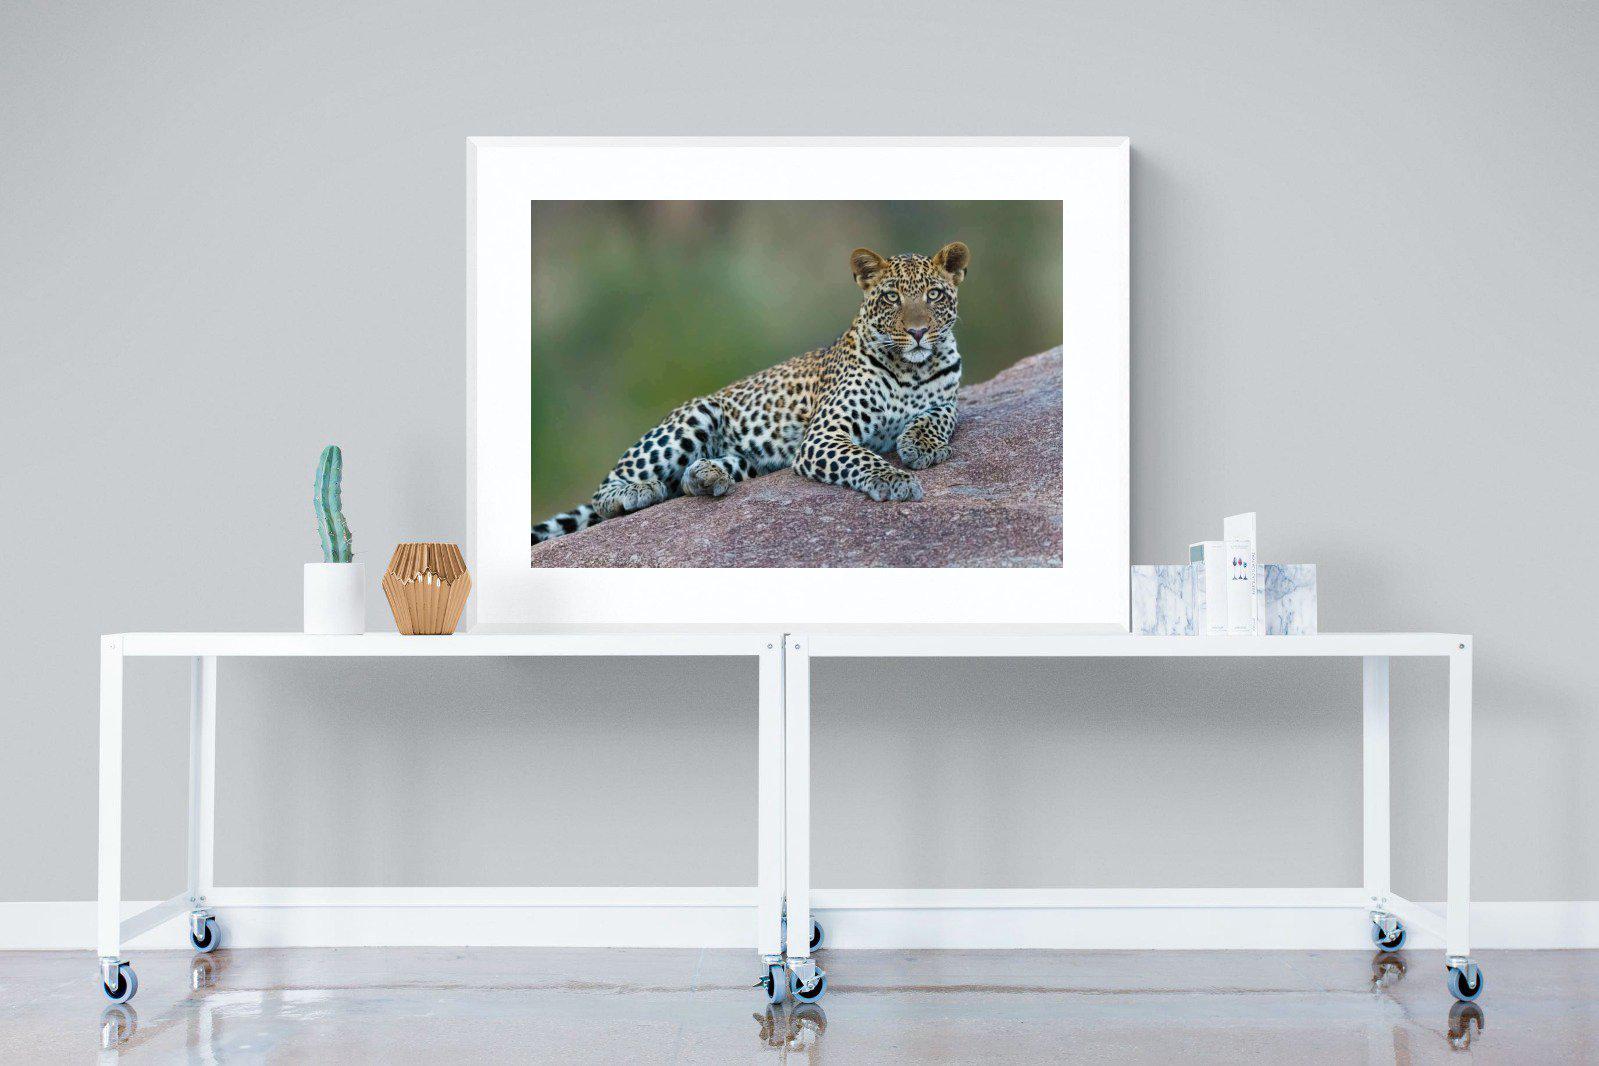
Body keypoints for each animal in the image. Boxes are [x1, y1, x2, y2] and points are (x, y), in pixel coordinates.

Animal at [531, 241, 969, 544]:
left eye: (933, 295)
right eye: (892, 297)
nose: (918, 332)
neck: (912, 368)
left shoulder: (948, 398)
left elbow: (940, 416)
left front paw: (921, 445)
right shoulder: (824, 435)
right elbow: (862, 457)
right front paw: (894, 479)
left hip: (751, 460)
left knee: (689, 481)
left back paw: (706, 476)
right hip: (694, 417)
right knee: (607, 490)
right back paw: (637, 491)